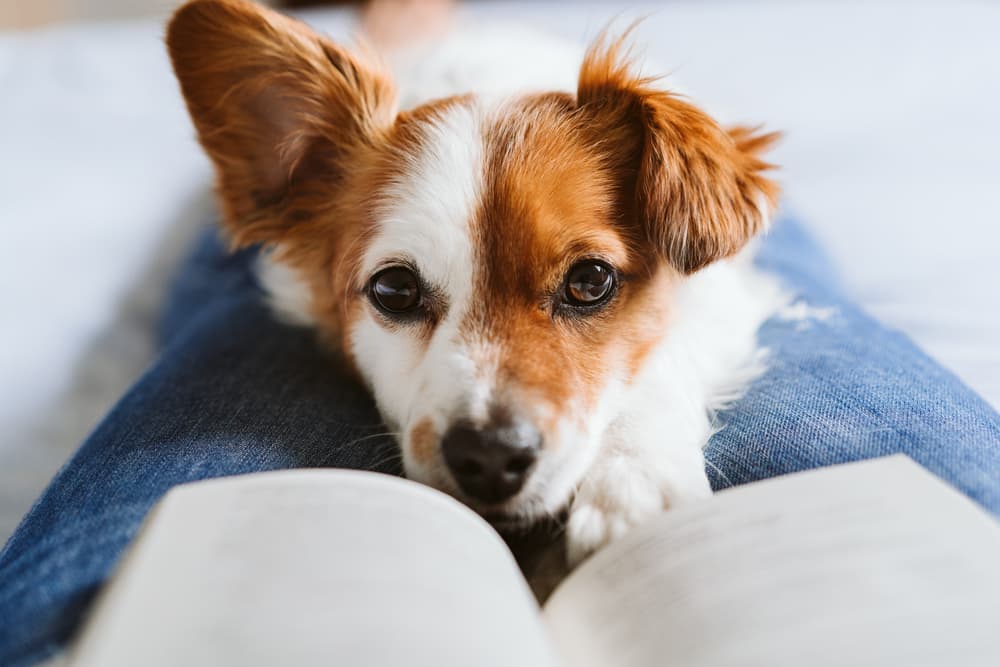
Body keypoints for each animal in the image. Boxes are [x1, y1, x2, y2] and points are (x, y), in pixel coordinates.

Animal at [168, 0, 784, 568]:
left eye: (590, 281)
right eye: (394, 290)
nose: (489, 457)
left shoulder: (725, 299)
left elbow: (661, 363)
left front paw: (633, 480)